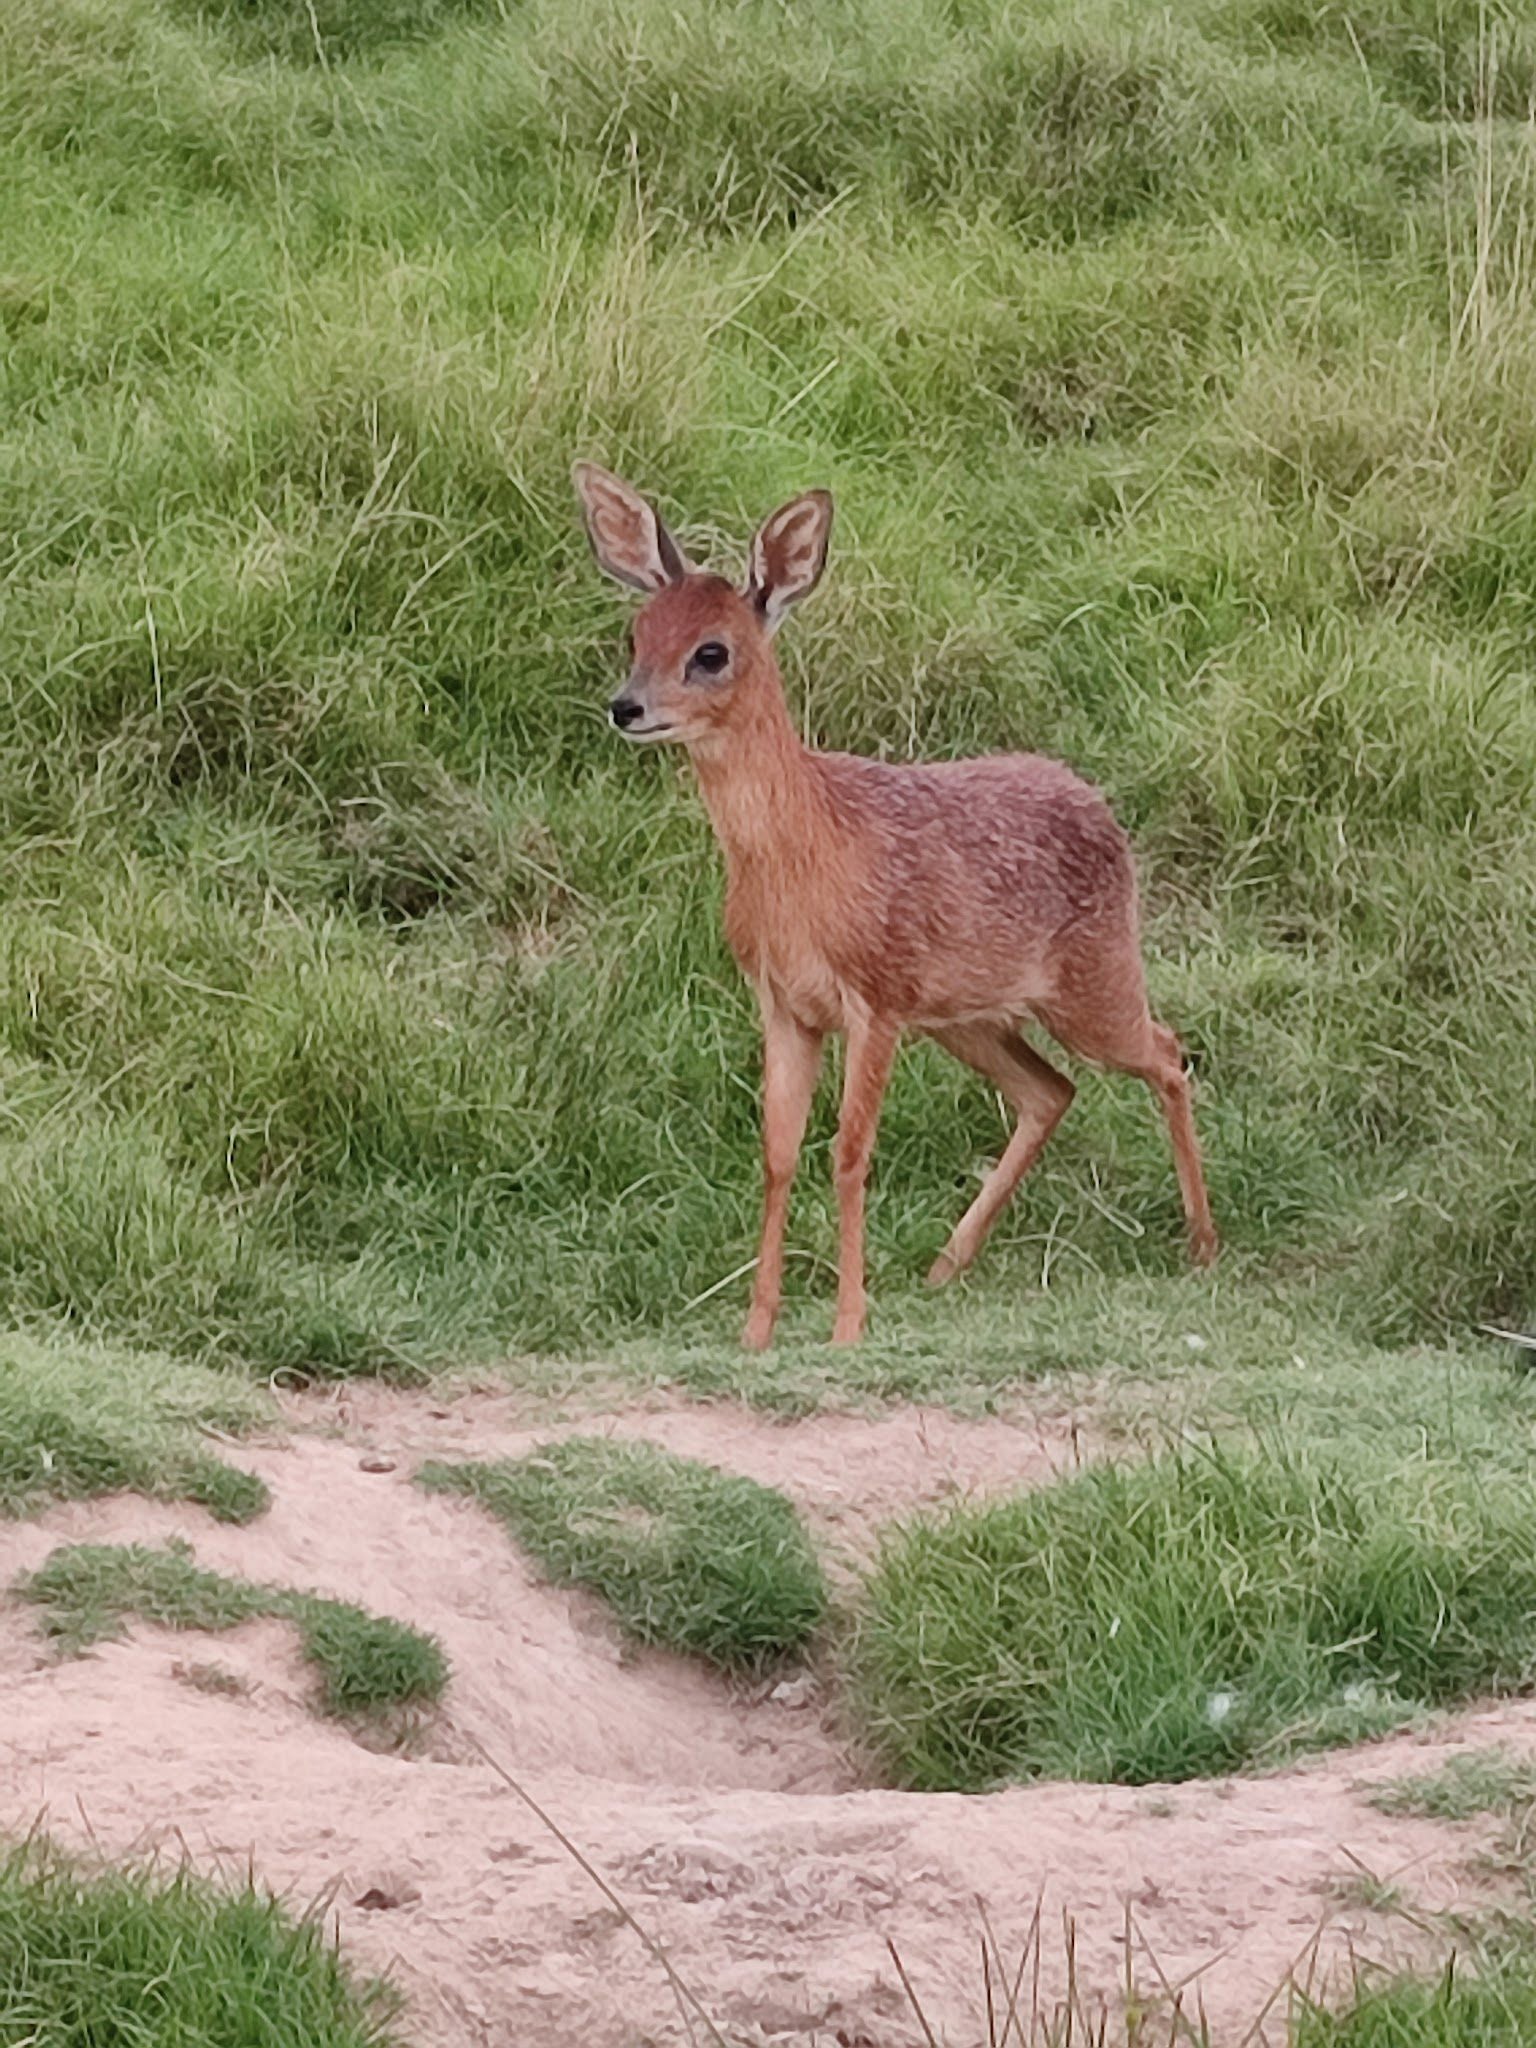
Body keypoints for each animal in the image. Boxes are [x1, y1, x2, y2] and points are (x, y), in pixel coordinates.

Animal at [573, 468, 1220, 1359]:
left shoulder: (873, 997)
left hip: (1094, 983)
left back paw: (1202, 1243)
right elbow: (778, 1151)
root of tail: (1100, 805)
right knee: (1050, 1090)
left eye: (711, 652)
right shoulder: (782, 1003)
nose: (626, 707)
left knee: (1167, 1052)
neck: (807, 856)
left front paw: (848, 1322)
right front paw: (757, 1326)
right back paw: (947, 1263)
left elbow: (849, 1150)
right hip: (968, 1017)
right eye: (636, 633)